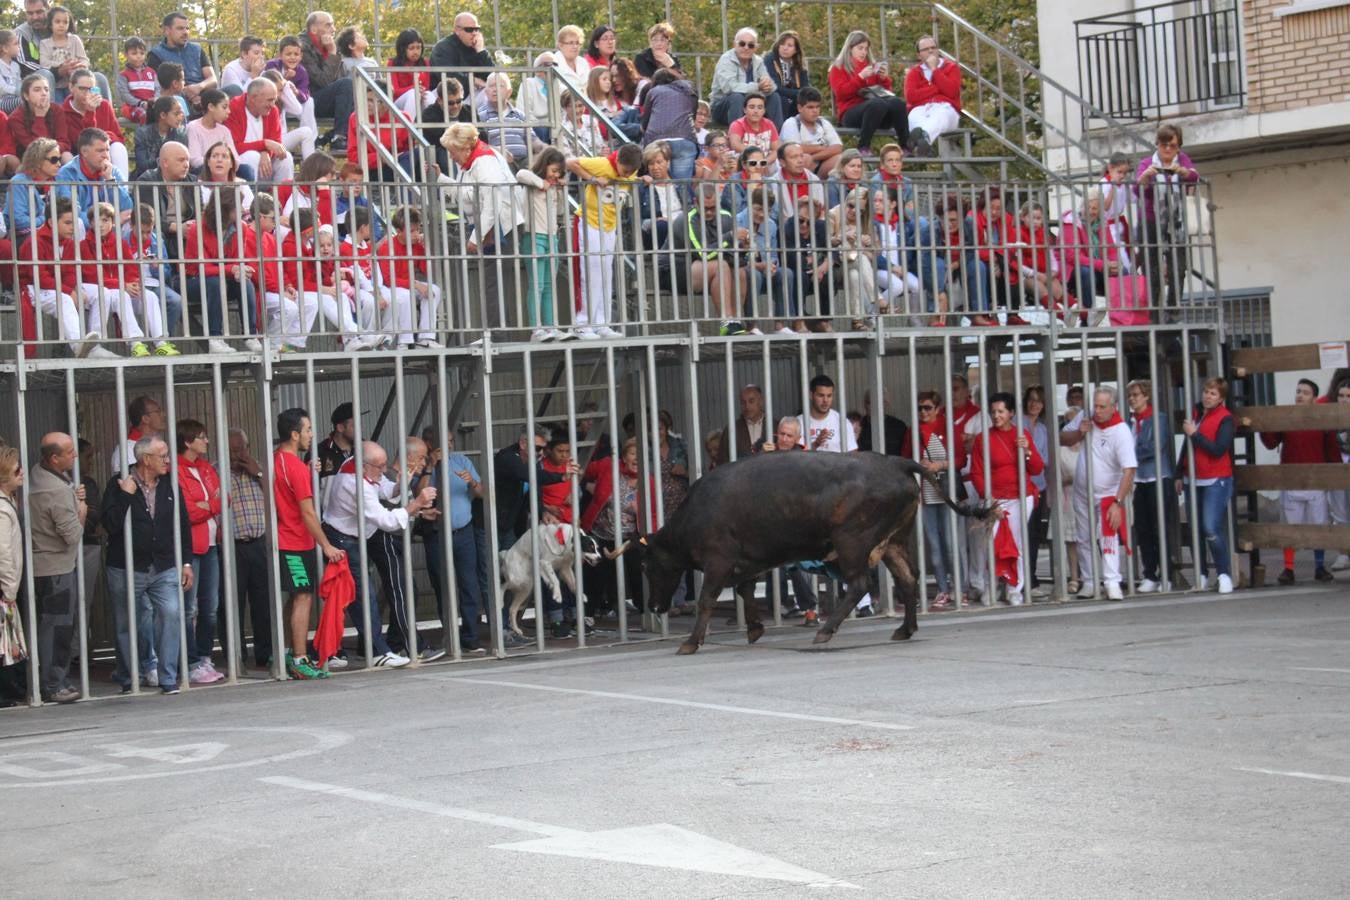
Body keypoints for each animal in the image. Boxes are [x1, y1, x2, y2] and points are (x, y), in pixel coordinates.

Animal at [631, 450, 993, 655]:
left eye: (648, 566)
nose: (653, 606)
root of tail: (895, 461)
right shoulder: (746, 563)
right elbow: (746, 591)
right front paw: (755, 629)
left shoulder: (718, 562)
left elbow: (707, 599)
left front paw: (690, 642)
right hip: (892, 542)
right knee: (907, 578)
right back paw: (904, 629)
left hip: (852, 542)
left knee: (859, 584)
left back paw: (825, 631)